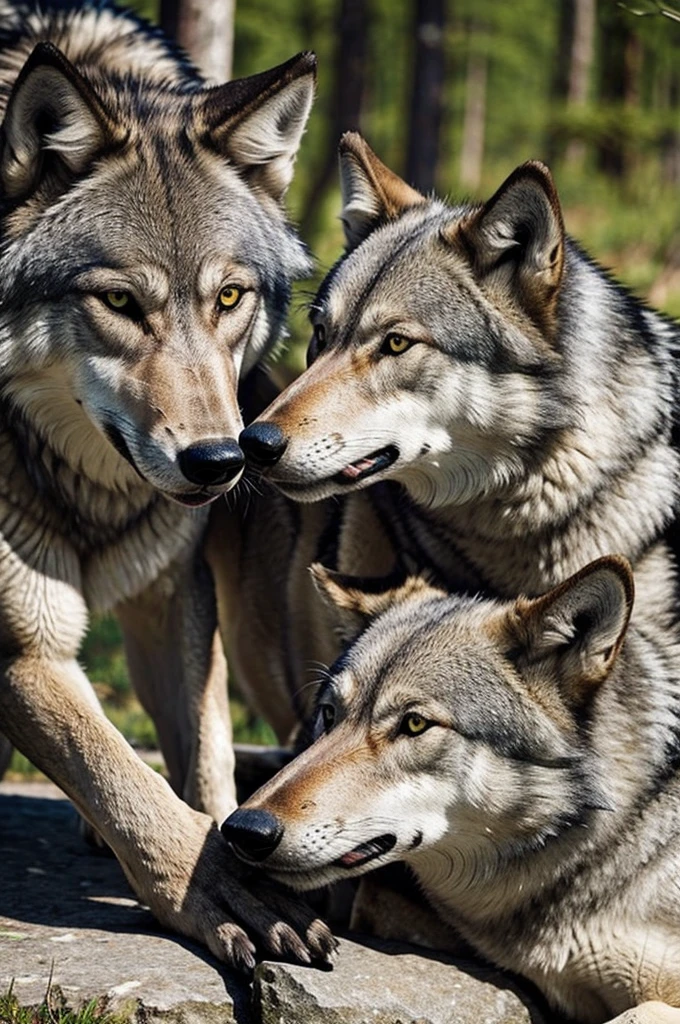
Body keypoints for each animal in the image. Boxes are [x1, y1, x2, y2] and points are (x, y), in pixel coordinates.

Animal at [0, 0, 331, 970]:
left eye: (228, 298)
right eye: (119, 302)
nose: (221, 461)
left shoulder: (171, 590)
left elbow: (204, 756)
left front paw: (240, 844)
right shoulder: (24, 645)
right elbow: (122, 780)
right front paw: (218, 889)